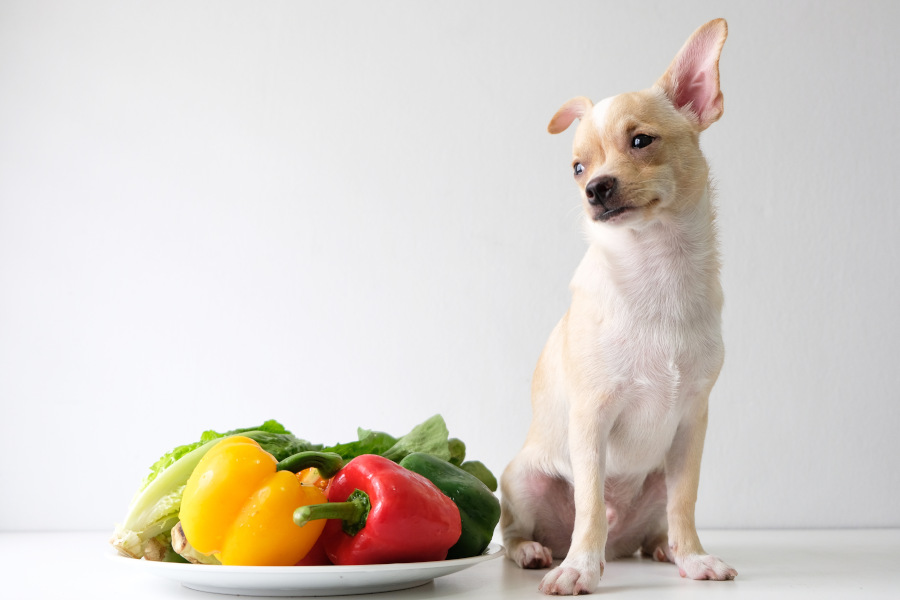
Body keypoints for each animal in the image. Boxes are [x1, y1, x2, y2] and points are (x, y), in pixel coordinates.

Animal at [500, 18, 740, 596]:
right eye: (576, 167)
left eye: (640, 141)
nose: (595, 187)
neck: (656, 271)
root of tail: (623, 542)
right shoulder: (591, 420)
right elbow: (589, 502)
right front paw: (580, 570)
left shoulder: (691, 424)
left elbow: (685, 502)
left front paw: (694, 558)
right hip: (522, 476)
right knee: (522, 530)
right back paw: (539, 552)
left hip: (655, 479)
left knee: (658, 521)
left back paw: (664, 549)